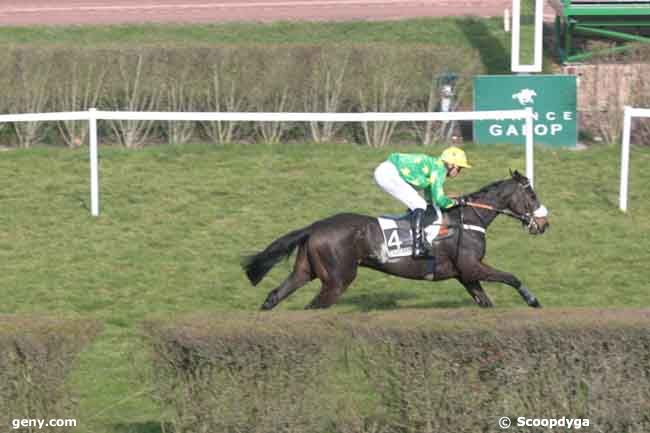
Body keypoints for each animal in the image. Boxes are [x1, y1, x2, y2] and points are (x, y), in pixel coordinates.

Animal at [243, 169, 548, 308]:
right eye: (532, 195)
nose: (544, 224)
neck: (468, 219)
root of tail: (315, 226)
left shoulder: (466, 274)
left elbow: (485, 301)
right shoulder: (472, 267)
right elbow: (512, 277)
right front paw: (532, 300)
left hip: (306, 271)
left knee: (275, 295)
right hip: (337, 280)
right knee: (313, 306)